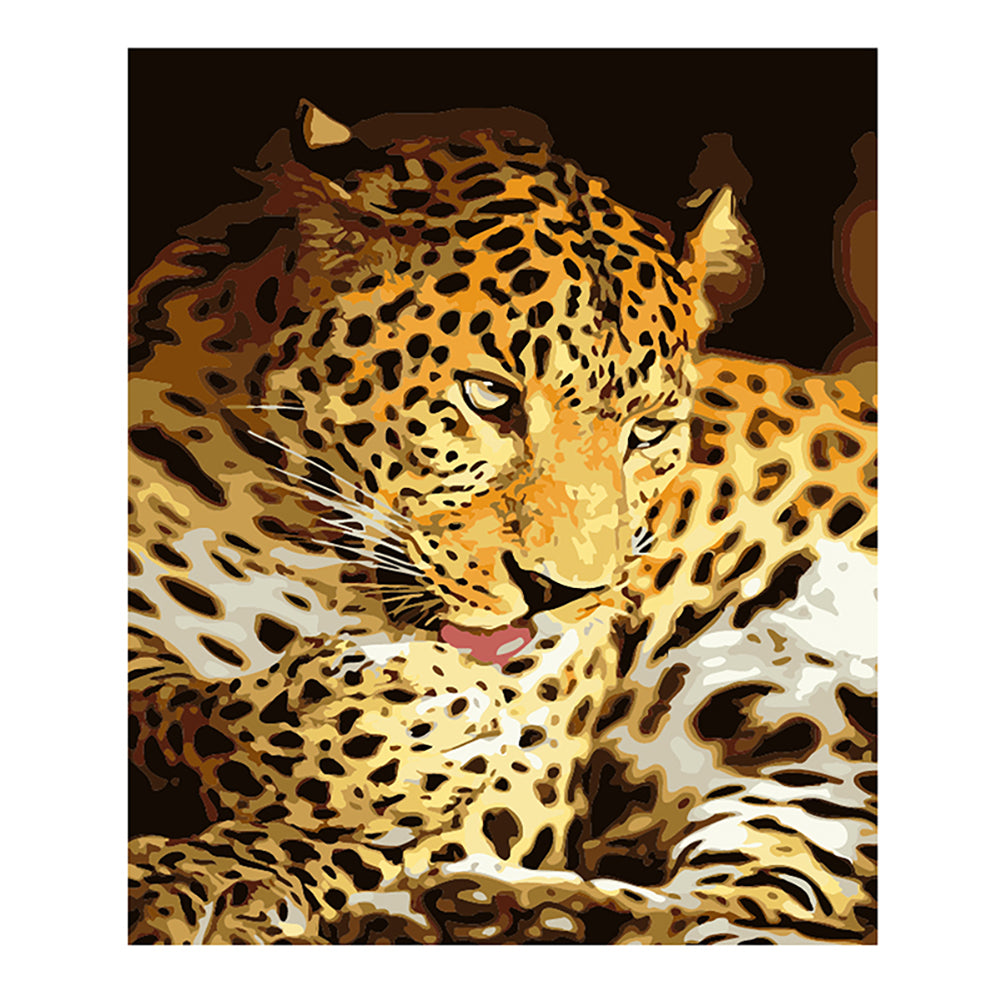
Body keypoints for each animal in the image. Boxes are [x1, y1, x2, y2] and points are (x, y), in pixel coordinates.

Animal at [128, 102, 876, 944]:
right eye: (489, 394)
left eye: (647, 430)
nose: (560, 595)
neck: (295, 535)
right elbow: (174, 712)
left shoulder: (529, 762)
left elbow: (339, 840)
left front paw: (213, 875)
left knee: (777, 912)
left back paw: (467, 907)